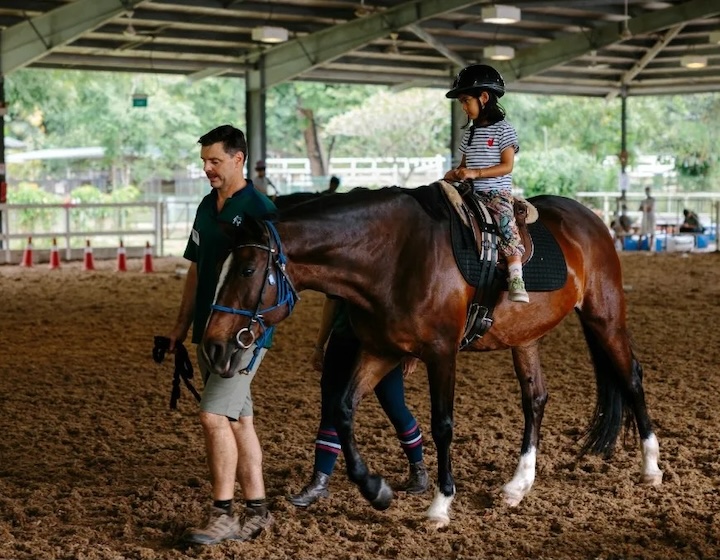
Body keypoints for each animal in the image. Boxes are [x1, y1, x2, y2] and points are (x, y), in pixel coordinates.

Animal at [200, 183, 660, 524]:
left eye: (246, 270)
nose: (214, 344)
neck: (393, 255)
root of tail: (588, 217)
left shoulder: (441, 354)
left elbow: (442, 425)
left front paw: (440, 504)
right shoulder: (381, 350)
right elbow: (344, 409)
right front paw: (376, 490)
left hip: (605, 316)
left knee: (632, 377)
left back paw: (651, 468)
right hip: (526, 337)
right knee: (535, 399)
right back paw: (518, 485)